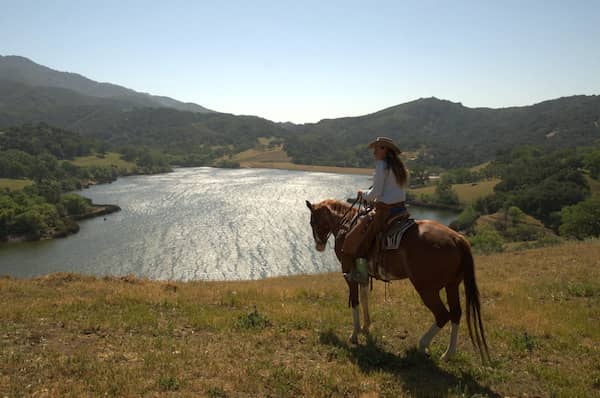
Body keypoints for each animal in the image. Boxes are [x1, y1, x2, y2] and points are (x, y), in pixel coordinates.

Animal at [308, 197, 490, 362]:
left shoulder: (348, 273)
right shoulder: (363, 275)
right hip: (452, 285)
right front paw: (366, 327)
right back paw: (448, 354)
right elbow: (365, 297)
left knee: (442, 315)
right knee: (456, 314)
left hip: (427, 289)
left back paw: (422, 346)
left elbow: (355, 301)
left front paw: (354, 334)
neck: (346, 227)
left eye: (312, 222)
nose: (319, 245)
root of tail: (457, 239)